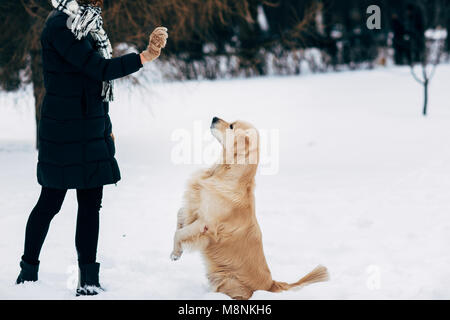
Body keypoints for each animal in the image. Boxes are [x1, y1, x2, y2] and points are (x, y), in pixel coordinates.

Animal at [171, 117, 328, 300]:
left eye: (231, 126)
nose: (214, 117)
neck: (224, 172)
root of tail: (271, 284)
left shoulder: (206, 224)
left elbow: (179, 233)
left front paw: (175, 253)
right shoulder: (194, 204)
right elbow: (180, 215)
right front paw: (178, 246)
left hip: (229, 280)